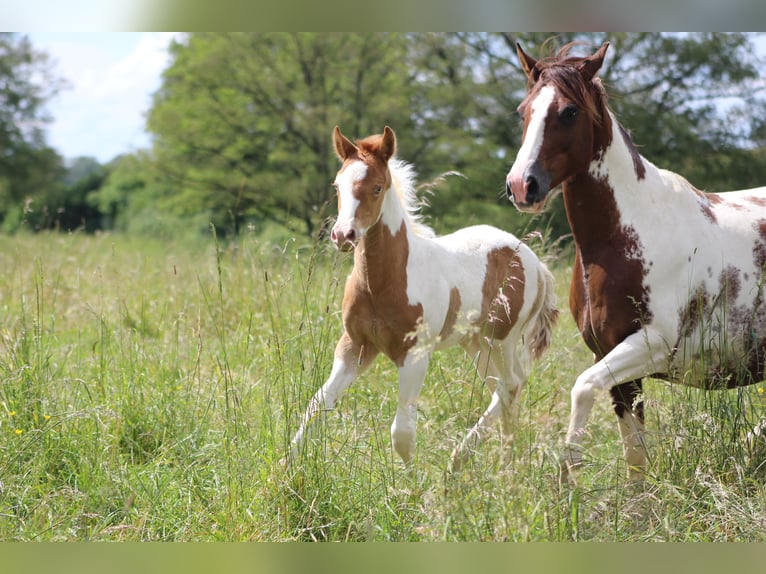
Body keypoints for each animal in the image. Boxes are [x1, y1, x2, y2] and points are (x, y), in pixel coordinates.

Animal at [288, 125, 560, 468]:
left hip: (501, 339)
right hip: (476, 343)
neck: (382, 283)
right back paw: (504, 463)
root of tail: (535, 262)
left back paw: (465, 460)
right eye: (338, 185)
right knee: (504, 388)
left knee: (511, 385)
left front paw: (410, 479)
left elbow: (402, 430)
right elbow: (318, 403)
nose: (343, 235)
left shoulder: (416, 353)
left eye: (377, 188)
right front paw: (284, 467)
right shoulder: (355, 346)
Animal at [508, 41, 766, 482]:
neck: (625, 235)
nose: (522, 186)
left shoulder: (652, 345)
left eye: (569, 112)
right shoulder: (610, 355)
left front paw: (567, 477)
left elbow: (582, 388)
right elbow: (635, 453)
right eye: (524, 110)